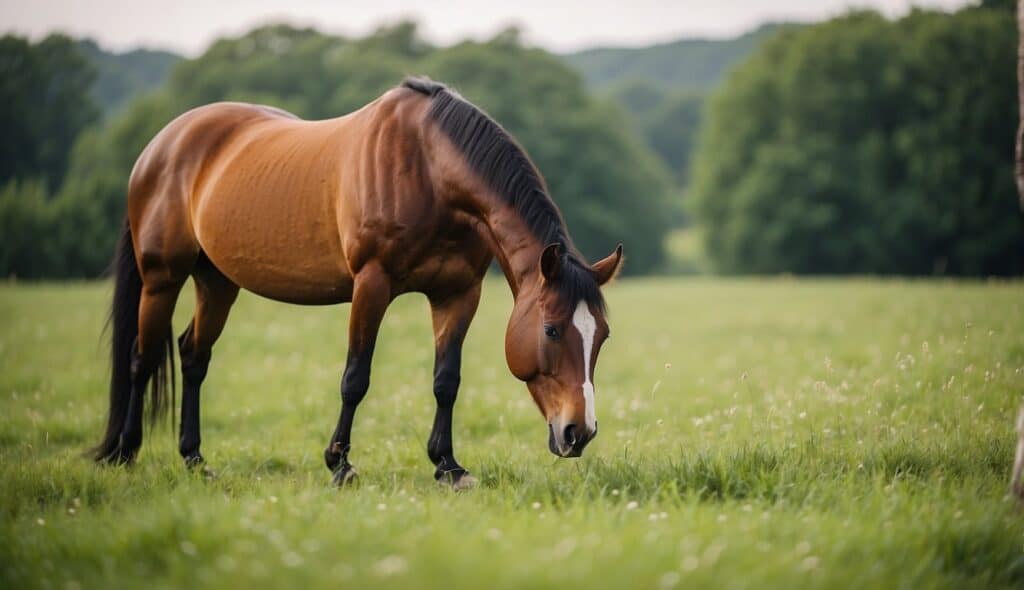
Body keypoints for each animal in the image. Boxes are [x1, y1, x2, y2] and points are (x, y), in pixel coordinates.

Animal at [94, 75, 622, 485]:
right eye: (551, 330)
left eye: (602, 336)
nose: (579, 433)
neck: (428, 169)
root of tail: (161, 146)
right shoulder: (372, 284)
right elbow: (355, 377)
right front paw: (339, 464)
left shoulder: (457, 294)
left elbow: (446, 380)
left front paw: (447, 466)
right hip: (162, 277)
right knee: (141, 358)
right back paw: (123, 452)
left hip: (217, 281)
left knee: (193, 355)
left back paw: (194, 458)